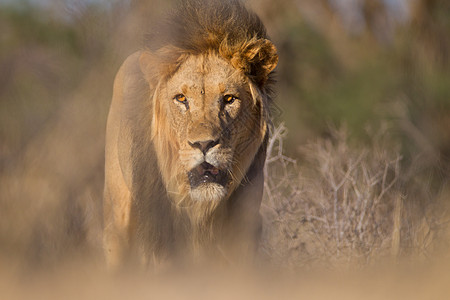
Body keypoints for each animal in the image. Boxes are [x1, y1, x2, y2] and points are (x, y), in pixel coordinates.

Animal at [103, 0, 278, 270]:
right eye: (181, 99)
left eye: (229, 99)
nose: (204, 144)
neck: (201, 211)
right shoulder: (160, 231)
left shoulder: (242, 229)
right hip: (119, 216)